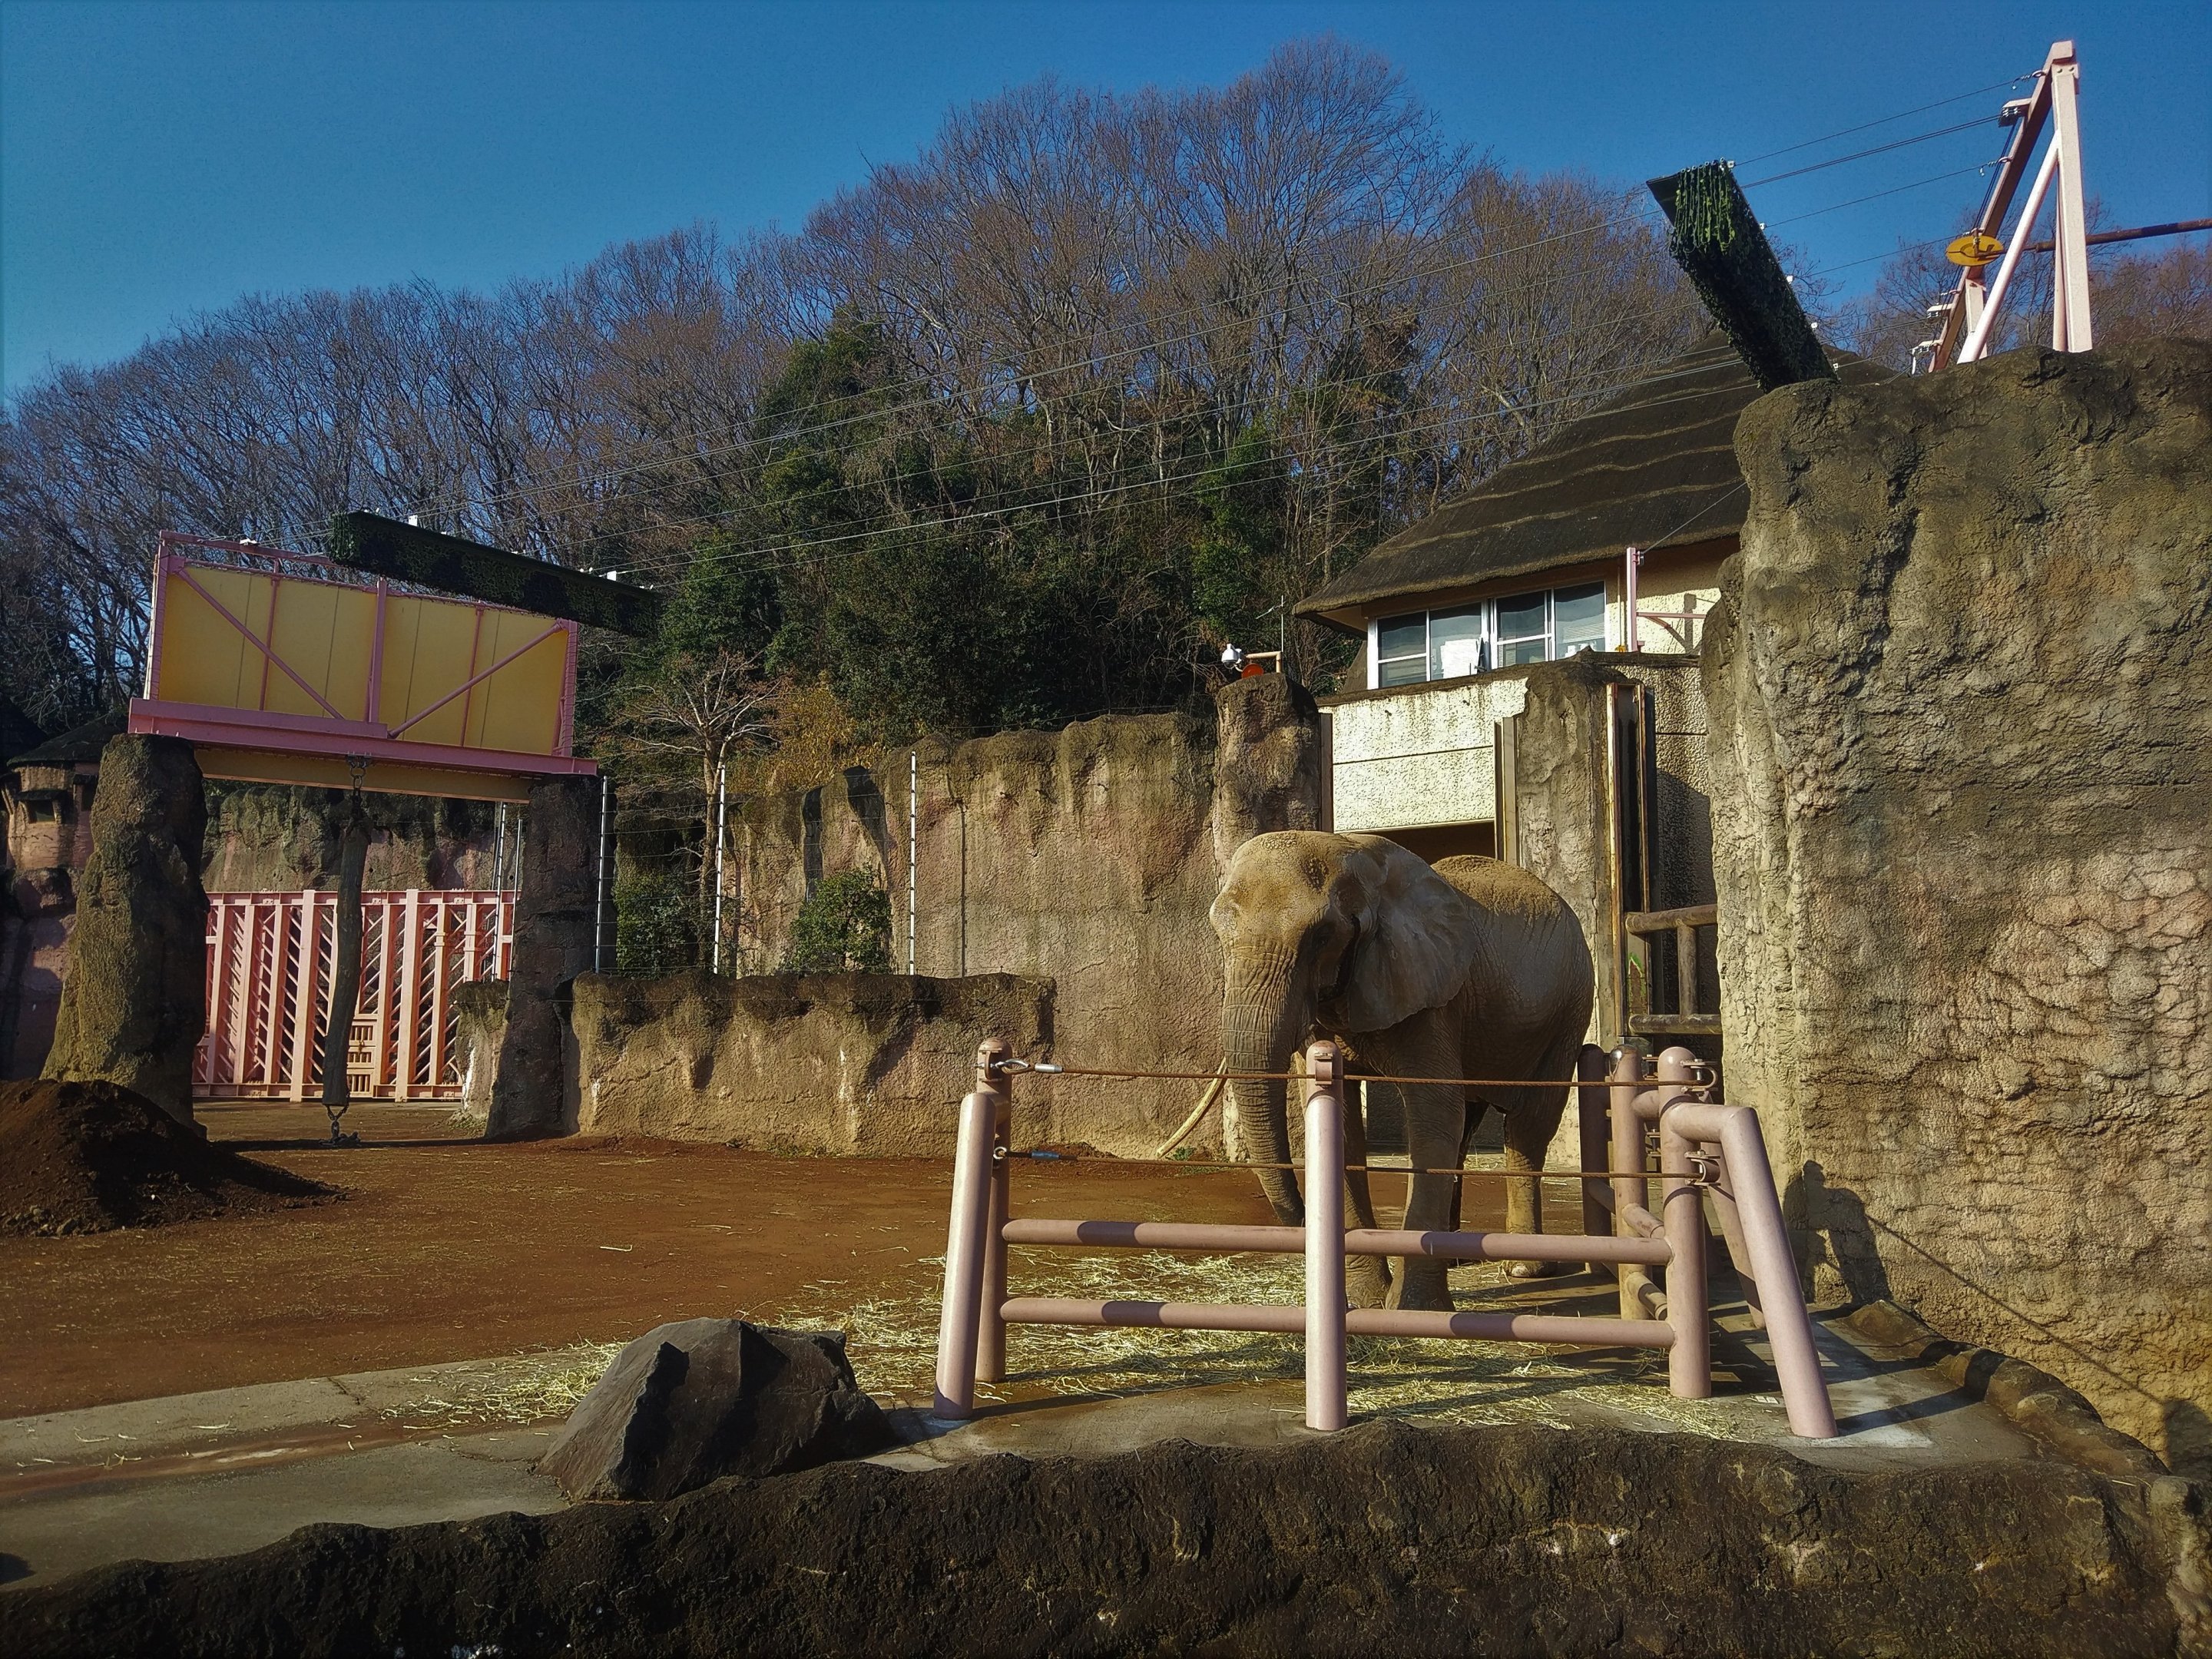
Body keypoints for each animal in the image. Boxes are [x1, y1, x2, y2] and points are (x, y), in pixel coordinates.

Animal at [1209, 830, 1594, 1311]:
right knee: (1468, 1127)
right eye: (1218, 933)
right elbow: (1342, 1121)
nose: (1302, 1219)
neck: (1352, 852)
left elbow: (1434, 1115)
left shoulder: (1430, 994)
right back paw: (1456, 1259)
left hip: (1571, 1006)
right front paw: (1367, 1302)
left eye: (1322, 936)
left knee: (1528, 1125)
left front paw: (1412, 1308)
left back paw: (1525, 1268)